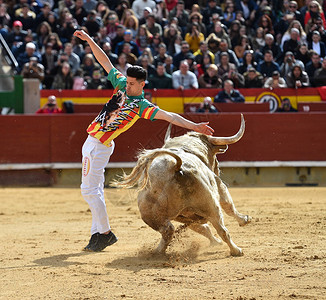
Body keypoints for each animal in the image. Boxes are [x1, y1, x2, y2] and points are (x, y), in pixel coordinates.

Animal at [116, 114, 251, 255]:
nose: (218, 168)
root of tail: (175, 166)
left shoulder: (187, 215)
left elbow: (201, 228)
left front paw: (216, 242)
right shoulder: (219, 186)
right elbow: (228, 205)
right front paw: (244, 219)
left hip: (149, 214)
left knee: (168, 230)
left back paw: (158, 251)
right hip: (211, 205)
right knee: (222, 229)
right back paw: (236, 250)